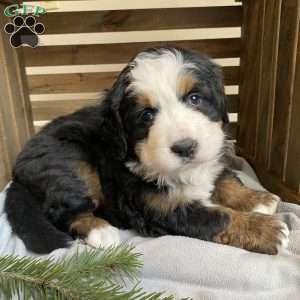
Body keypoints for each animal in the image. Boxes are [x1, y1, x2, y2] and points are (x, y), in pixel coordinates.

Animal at [4, 48, 290, 254]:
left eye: (194, 98)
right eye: (146, 115)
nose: (185, 147)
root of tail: (18, 167)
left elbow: (224, 178)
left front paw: (256, 199)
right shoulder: (161, 207)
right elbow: (216, 216)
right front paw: (266, 230)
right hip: (72, 163)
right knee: (61, 211)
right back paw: (100, 230)